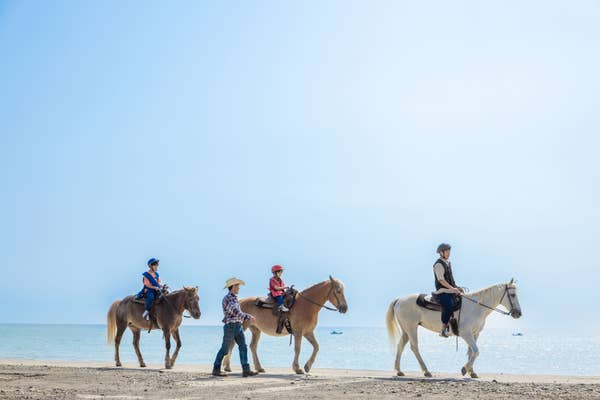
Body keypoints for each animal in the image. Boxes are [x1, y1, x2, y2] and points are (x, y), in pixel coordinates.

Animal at [386, 279, 522, 378]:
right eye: (513, 295)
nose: (518, 313)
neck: (476, 307)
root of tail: (399, 300)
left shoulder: (475, 334)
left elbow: (471, 352)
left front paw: (472, 372)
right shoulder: (466, 334)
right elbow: (476, 351)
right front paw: (464, 369)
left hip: (406, 330)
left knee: (400, 345)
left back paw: (399, 371)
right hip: (411, 328)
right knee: (414, 347)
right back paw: (426, 371)